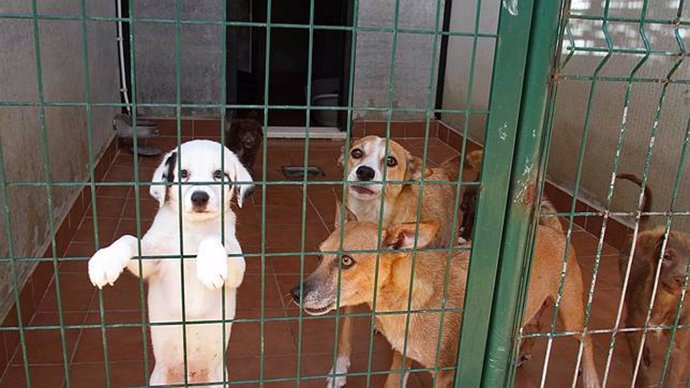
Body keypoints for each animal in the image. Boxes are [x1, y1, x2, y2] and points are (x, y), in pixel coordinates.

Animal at [87, 139, 254, 384]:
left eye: (218, 174)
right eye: (183, 173)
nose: (199, 197)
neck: (193, 228)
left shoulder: (237, 269)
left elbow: (213, 239)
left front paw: (210, 266)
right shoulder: (152, 260)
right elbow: (128, 239)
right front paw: (106, 260)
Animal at [288, 203, 600, 388]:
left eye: (346, 261)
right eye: (319, 255)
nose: (295, 293)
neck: (403, 302)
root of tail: (552, 229)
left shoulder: (446, 374)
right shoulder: (400, 359)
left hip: (570, 313)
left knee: (588, 336)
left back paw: (592, 378)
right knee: (532, 325)